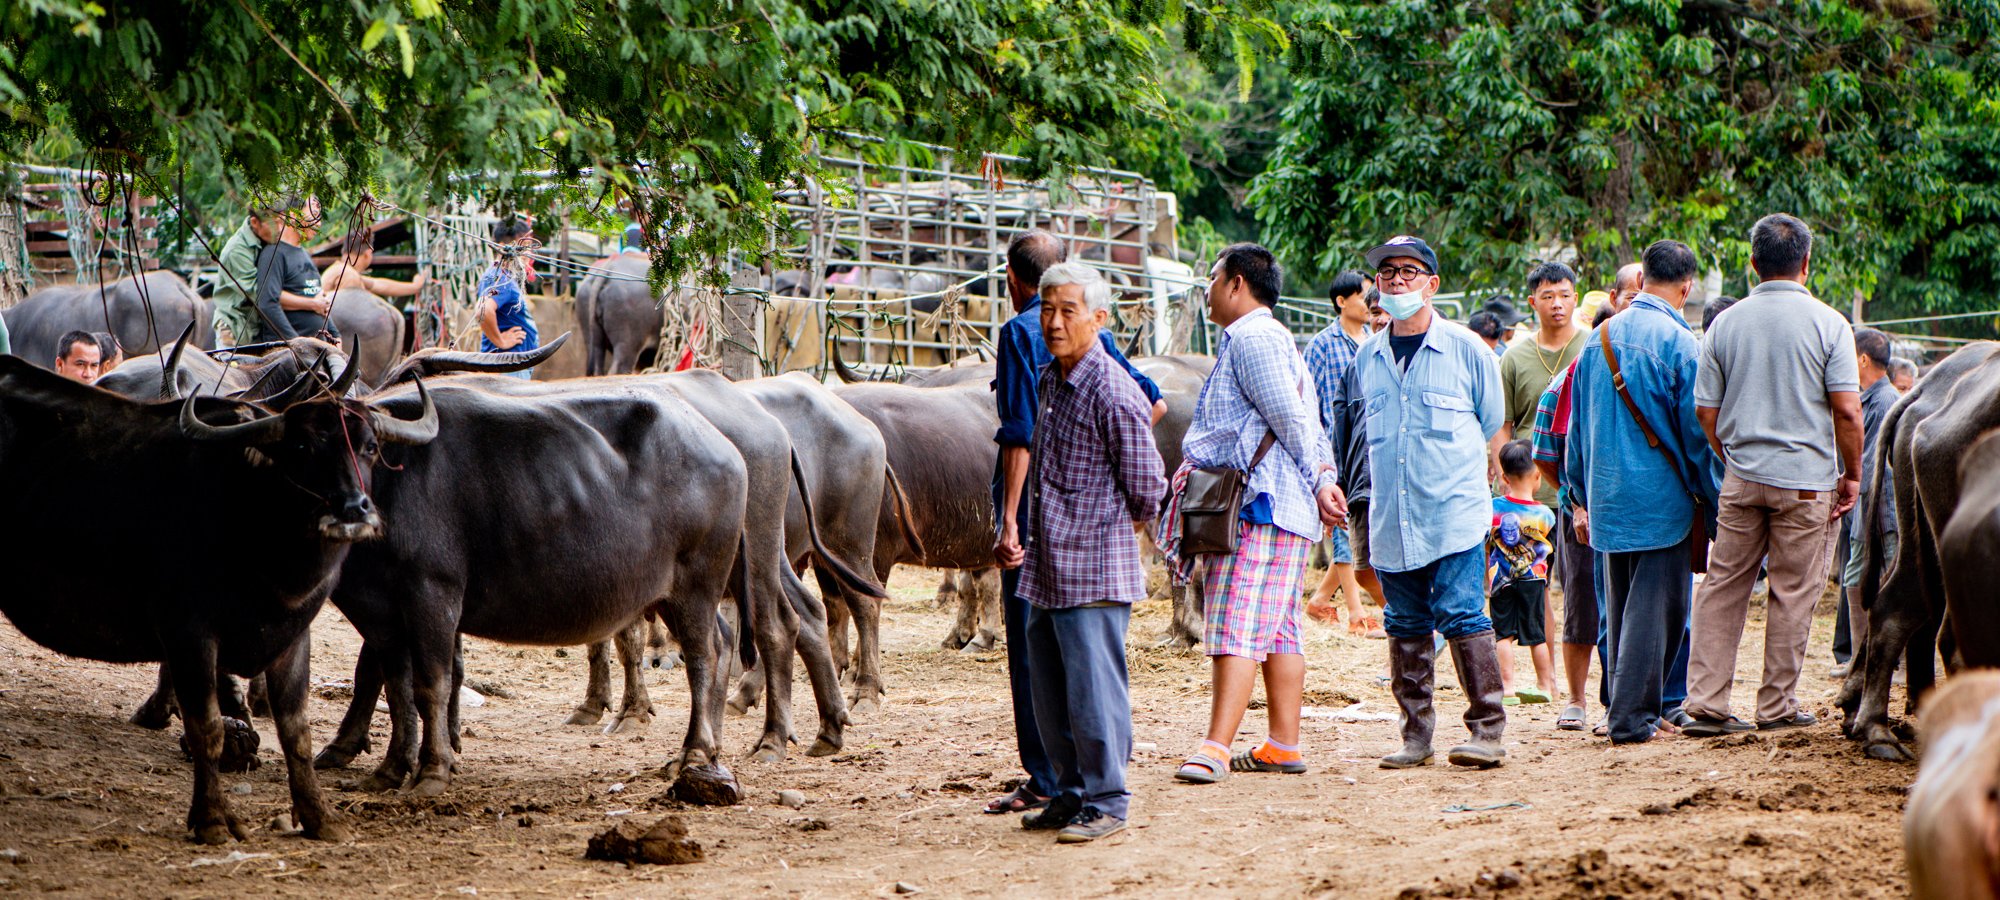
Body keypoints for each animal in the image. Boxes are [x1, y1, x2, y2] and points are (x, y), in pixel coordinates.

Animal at [0, 354, 434, 844]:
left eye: (369, 446)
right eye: (302, 446)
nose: (353, 508)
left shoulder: (293, 635)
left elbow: (296, 731)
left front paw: (320, 818)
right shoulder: (189, 634)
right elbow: (206, 727)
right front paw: (211, 819)